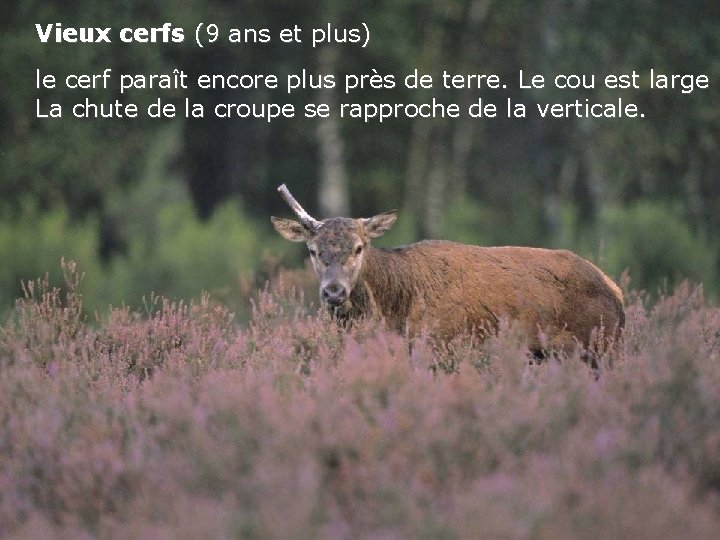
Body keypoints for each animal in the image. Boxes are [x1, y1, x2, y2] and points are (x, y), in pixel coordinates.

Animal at [271, 184, 624, 355]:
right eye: (312, 250)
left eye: (359, 247)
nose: (334, 291)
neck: (396, 312)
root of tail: (617, 292)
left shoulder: (443, 343)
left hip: (599, 346)